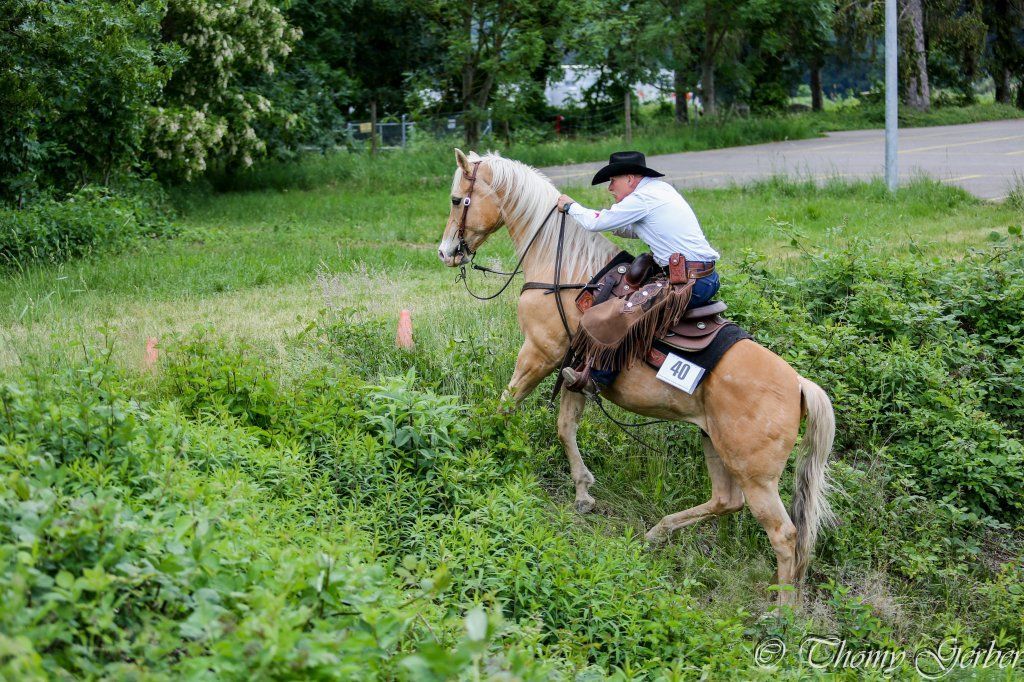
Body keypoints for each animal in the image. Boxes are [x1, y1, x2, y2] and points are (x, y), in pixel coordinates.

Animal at [436, 149, 835, 606]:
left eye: (456, 199)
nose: (446, 252)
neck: (566, 271)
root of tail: (800, 386)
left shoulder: (540, 353)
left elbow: (506, 404)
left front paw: (478, 445)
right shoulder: (575, 370)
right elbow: (565, 427)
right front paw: (583, 492)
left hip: (756, 476)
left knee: (784, 535)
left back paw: (781, 612)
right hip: (715, 445)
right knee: (725, 501)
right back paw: (657, 532)